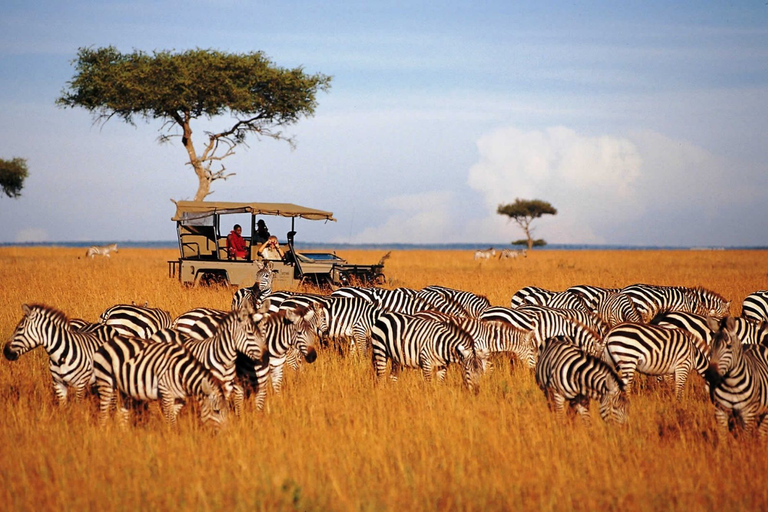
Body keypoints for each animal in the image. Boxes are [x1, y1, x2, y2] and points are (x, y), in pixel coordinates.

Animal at [92, 336, 226, 428]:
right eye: (216, 411)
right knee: (103, 414)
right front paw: (172, 439)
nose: (224, 436)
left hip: (124, 389)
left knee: (122, 414)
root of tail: (108, 343)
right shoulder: (166, 392)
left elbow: (172, 417)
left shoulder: (179, 399)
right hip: (106, 382)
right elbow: (170, 420)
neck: (182, 373)